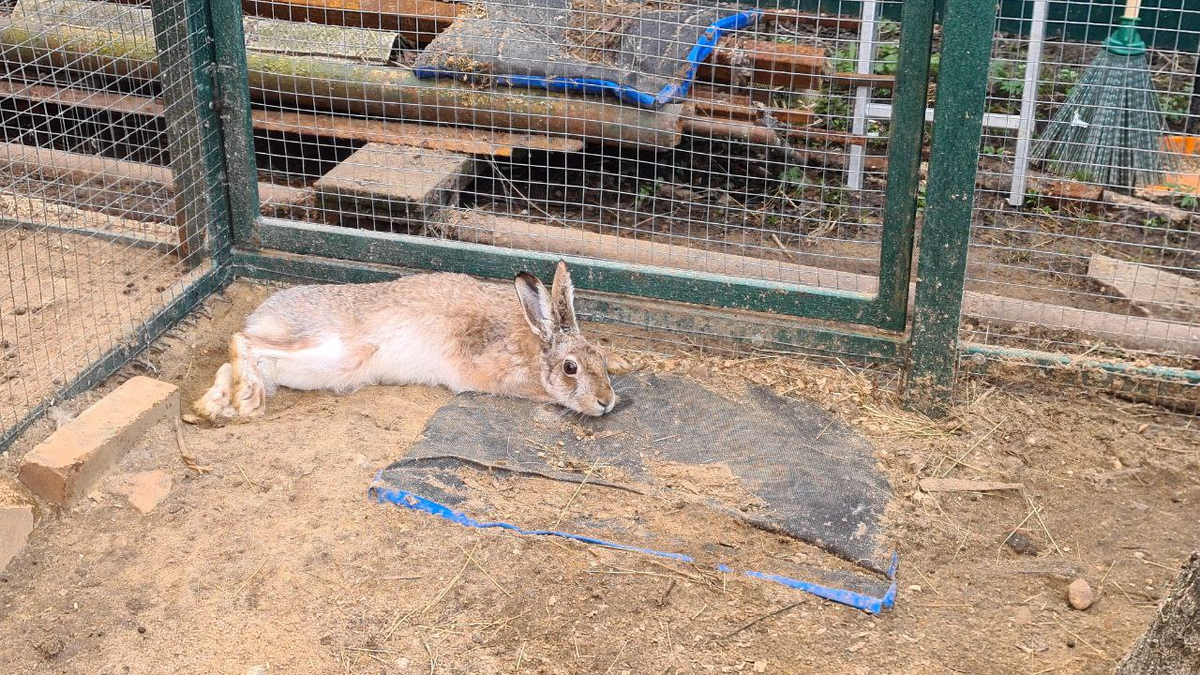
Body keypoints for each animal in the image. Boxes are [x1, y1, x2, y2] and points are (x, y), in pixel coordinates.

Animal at [193, 260, 619, 425]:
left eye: (601, 357)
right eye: (570, 368)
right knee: (242, 339)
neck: (535, 346)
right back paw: (246, 400)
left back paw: (213, 407)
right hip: (332, 347)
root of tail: (265, 312)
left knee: (236, 361)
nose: (606, 402)